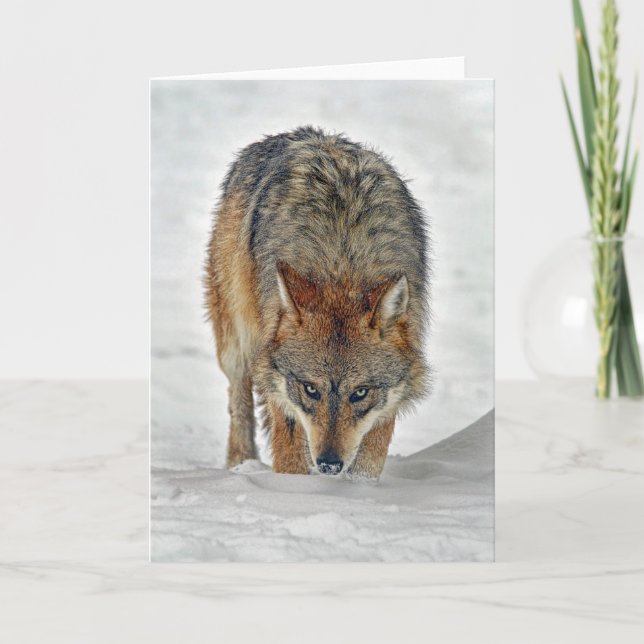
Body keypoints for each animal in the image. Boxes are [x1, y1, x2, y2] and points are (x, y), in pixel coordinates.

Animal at [205, 126, 429, 479]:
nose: (328, 464)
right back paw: (241, 465)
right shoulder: (282, 391)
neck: (342, 263)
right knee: (239, 399)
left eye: (360, 393)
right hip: (236, 340)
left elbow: (371, 458)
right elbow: (288, 456)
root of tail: (298, 132)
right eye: (311, 389)